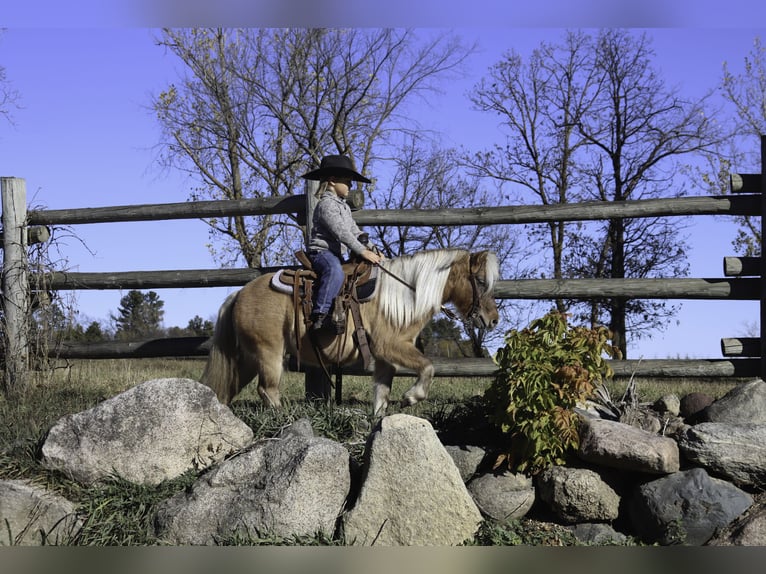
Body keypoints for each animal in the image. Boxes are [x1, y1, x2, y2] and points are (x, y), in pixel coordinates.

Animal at [201, 248, 500, 414]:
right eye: (480, 280)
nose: (494, 320)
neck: (403, 296)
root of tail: (239, 294)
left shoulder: (385, 359)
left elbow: (381, 395)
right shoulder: (391, 346)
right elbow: (428, 367)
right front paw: (411, 397)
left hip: (248, 358)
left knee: (227, 389)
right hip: (269, 353)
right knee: (268, 390)